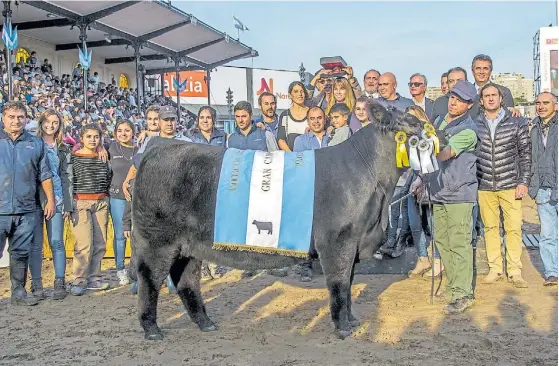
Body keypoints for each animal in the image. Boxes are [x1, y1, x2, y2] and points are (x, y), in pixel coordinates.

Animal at [132, 101, 424, 340]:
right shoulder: (337, 241)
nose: (422, 124)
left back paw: (206, 323)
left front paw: (352, 321)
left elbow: (349, 283)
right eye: (402, 118)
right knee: (149, 280)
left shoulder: (353, 243)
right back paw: (152, 330)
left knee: (186, 281)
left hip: (189, 246)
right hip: (156, 241)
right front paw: (342, 328)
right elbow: (340, 284)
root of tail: (158, 145)